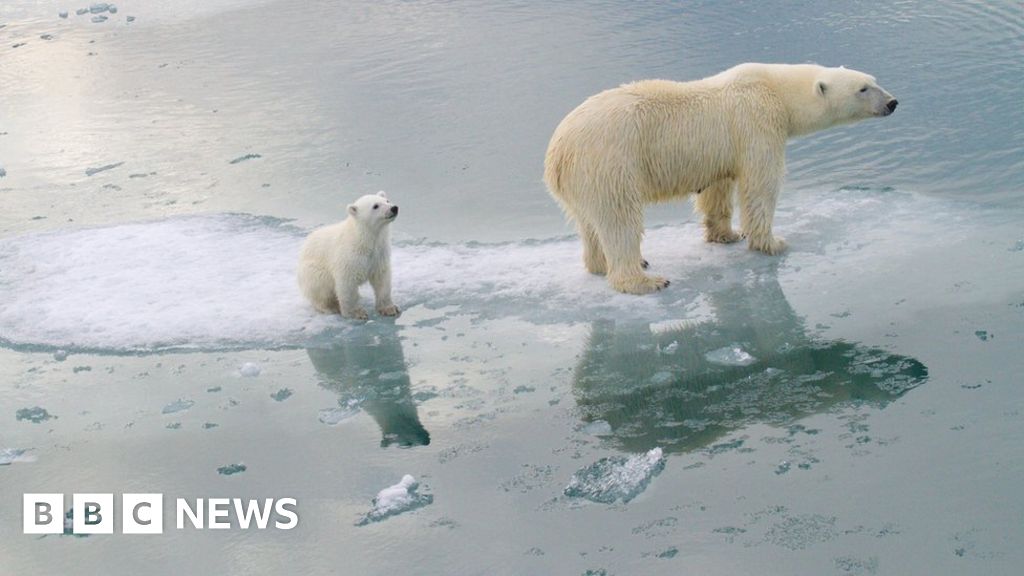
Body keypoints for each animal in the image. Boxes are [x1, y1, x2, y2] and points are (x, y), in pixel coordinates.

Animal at [544, 63, 897, 291]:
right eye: (863, 88)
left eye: (873, 79)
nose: (893, 102)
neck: (775, 89)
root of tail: (558, 152)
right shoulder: (757, 123)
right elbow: (761, 184)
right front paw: (772, 242)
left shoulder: (721, 151)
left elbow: (718, 189)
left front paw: (727, 234)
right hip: (609, 162)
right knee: (619, 219)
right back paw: (644, 279)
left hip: (582, 180)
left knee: (589, 223)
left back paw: (601, 264)